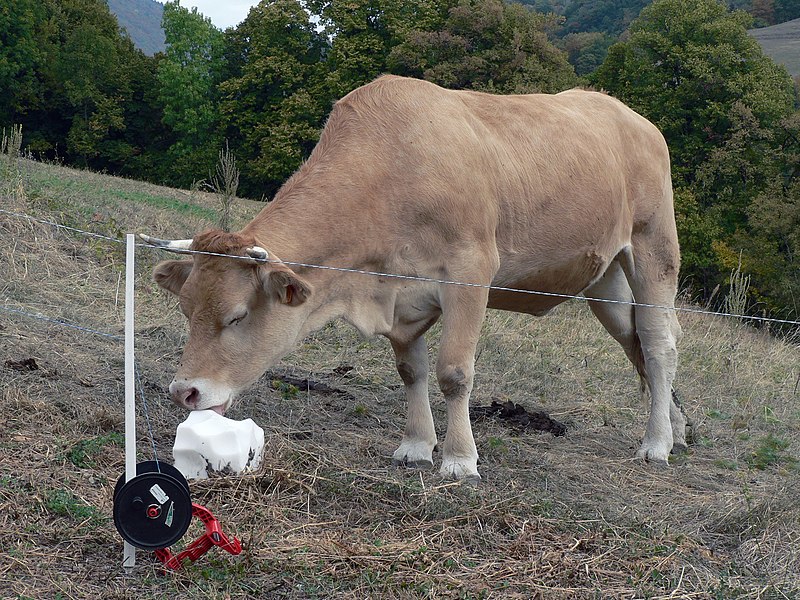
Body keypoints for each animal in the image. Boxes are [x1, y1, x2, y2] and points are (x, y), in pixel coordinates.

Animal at [144, 75, 680, 480]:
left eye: (237, 317)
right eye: (186, 309)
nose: (183, 392)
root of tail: (629, 114)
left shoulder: (470, 272)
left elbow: (454, 372)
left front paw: (460, 459)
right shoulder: (400, 296)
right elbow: (411, 371)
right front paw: (417, 446)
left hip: (653, 249)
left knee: (658, 344)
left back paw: (656, 444)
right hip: (604, 280)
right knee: (636, 340)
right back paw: (679, 428)